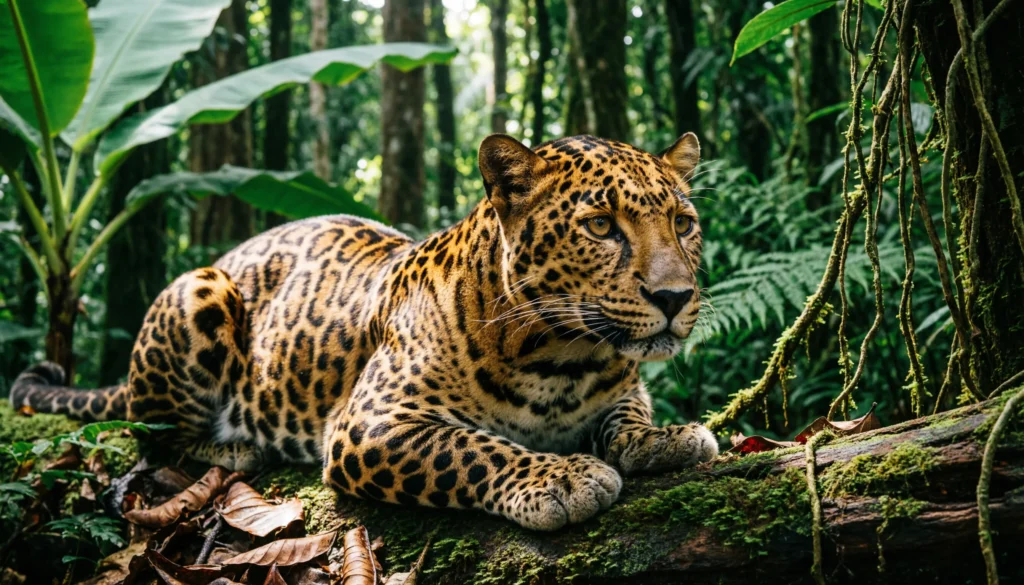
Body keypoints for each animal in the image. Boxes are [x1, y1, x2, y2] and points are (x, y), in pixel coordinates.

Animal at [11, 132, 718, 531]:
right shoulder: (371, 424)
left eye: (682, 223)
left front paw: (665, 438)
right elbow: (473, 448)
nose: (674, 297)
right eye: (600, 226)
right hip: (197, 291)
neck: (564, 354)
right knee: (153, 438)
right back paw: (233, 449)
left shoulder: (622, 385)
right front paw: (560, 478)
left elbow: (626, 415)